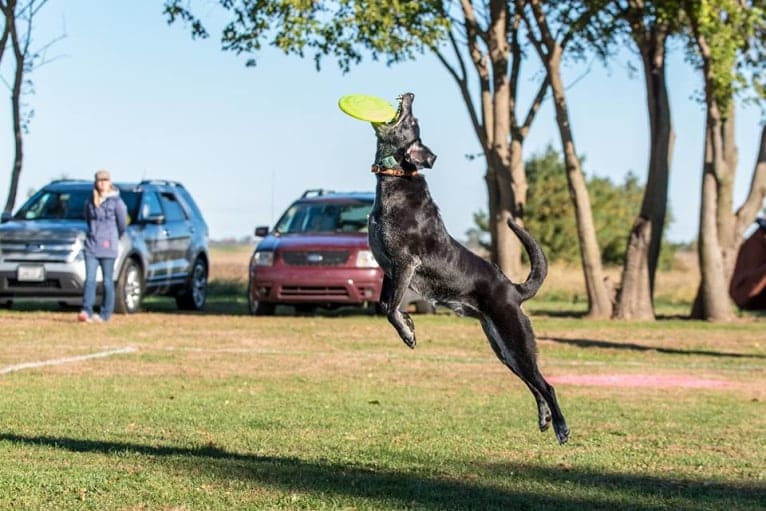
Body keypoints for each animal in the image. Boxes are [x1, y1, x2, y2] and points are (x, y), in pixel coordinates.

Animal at [366, 94, 568, 446]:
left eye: (413, 122)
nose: (410, 95)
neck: (396, 176)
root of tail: (514, 289)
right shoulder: (390, 270)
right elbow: (384, 305)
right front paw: (409, 324)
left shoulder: (405, 264)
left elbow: (391, 309)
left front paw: (408, 333)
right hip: (503, 349)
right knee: (534, 385)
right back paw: (544, 419)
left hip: (516, 341)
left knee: (547, 385)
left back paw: (560, 427)